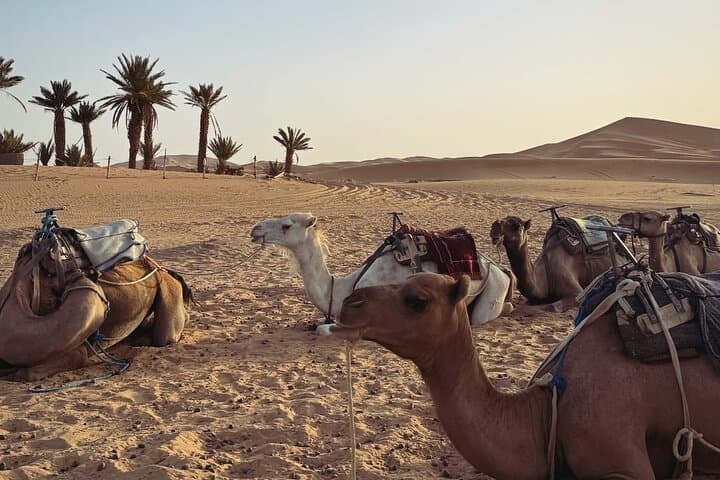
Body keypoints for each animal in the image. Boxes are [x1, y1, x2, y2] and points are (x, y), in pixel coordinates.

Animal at [0, 252, 193, 381]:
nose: (92, 273)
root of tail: (163, 269)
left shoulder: (77, 350)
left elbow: (26, 373)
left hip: (167, 287)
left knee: (165, 335)